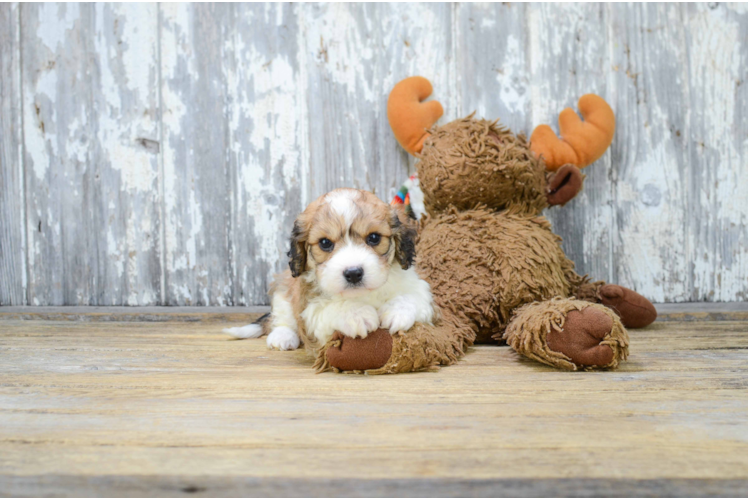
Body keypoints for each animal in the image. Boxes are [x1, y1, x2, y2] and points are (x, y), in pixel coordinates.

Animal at [224, 188, 432, 352]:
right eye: (325, 243)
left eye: (374, 238)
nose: (353, 273)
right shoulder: (309, 307)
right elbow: (331, 307)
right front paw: (357, 314)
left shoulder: (419, 288)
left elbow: (412, 296)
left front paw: (397, 312)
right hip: (284, 287)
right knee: (283, 316)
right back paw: (282, 336)